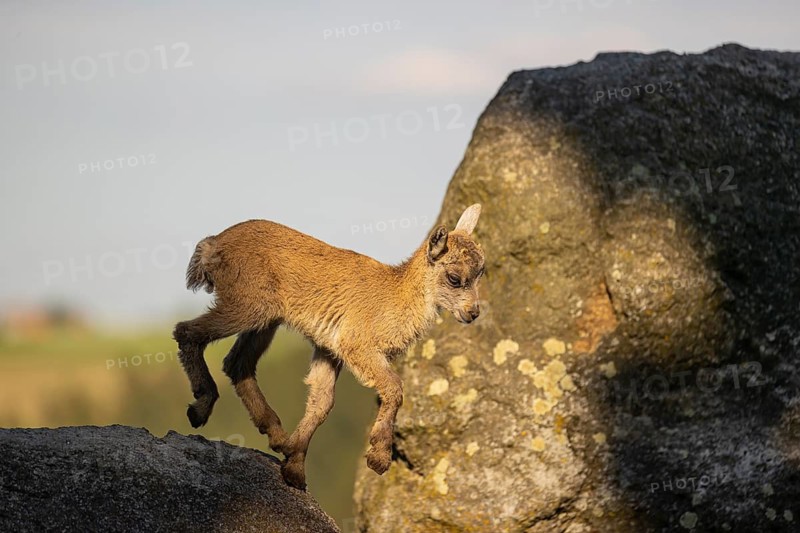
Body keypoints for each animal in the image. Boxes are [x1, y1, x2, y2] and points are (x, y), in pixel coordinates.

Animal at [172, 204, 485, 489]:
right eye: (455, 278)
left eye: (481, 273)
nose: (473, 313)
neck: (395, 297)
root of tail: (212, 245)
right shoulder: (356, 346)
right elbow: (394, 387)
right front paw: (378, 458)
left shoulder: (329, 349)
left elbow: (322, 402)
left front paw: (294, 468)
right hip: (249, 306)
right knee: (186, 331)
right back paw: (201, 406)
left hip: (266, 319)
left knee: (237, 363)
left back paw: (276, 435)